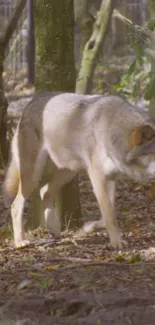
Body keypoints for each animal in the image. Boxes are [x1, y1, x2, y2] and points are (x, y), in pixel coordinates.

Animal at [2, 92, 155, 248]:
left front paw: (89, 228)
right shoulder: (97, 177)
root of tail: (31, 101)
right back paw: (20, 241)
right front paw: (116, 243)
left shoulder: (111, 177)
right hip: (33, 175)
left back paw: (54, 228)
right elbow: (109, 215)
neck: (114, 131)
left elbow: (108, 212)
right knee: (16, 204)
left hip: (68, 173)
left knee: (44, 191)